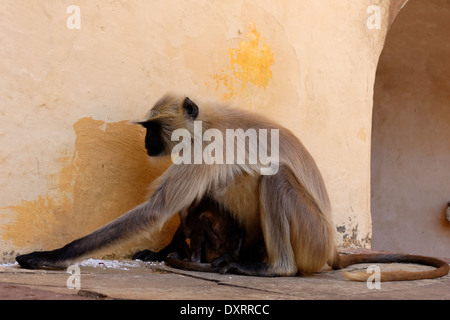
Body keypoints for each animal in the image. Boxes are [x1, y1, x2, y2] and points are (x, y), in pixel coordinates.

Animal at [15, 94, 448, 282]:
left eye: (153, 129)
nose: (146, 143)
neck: (206, 122)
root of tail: (332, 249)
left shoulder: (205, 148)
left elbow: (157, 208)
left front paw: (51, 257)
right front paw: (161, 251)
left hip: (311, 236)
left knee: (273, 178)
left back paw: (275, 268)